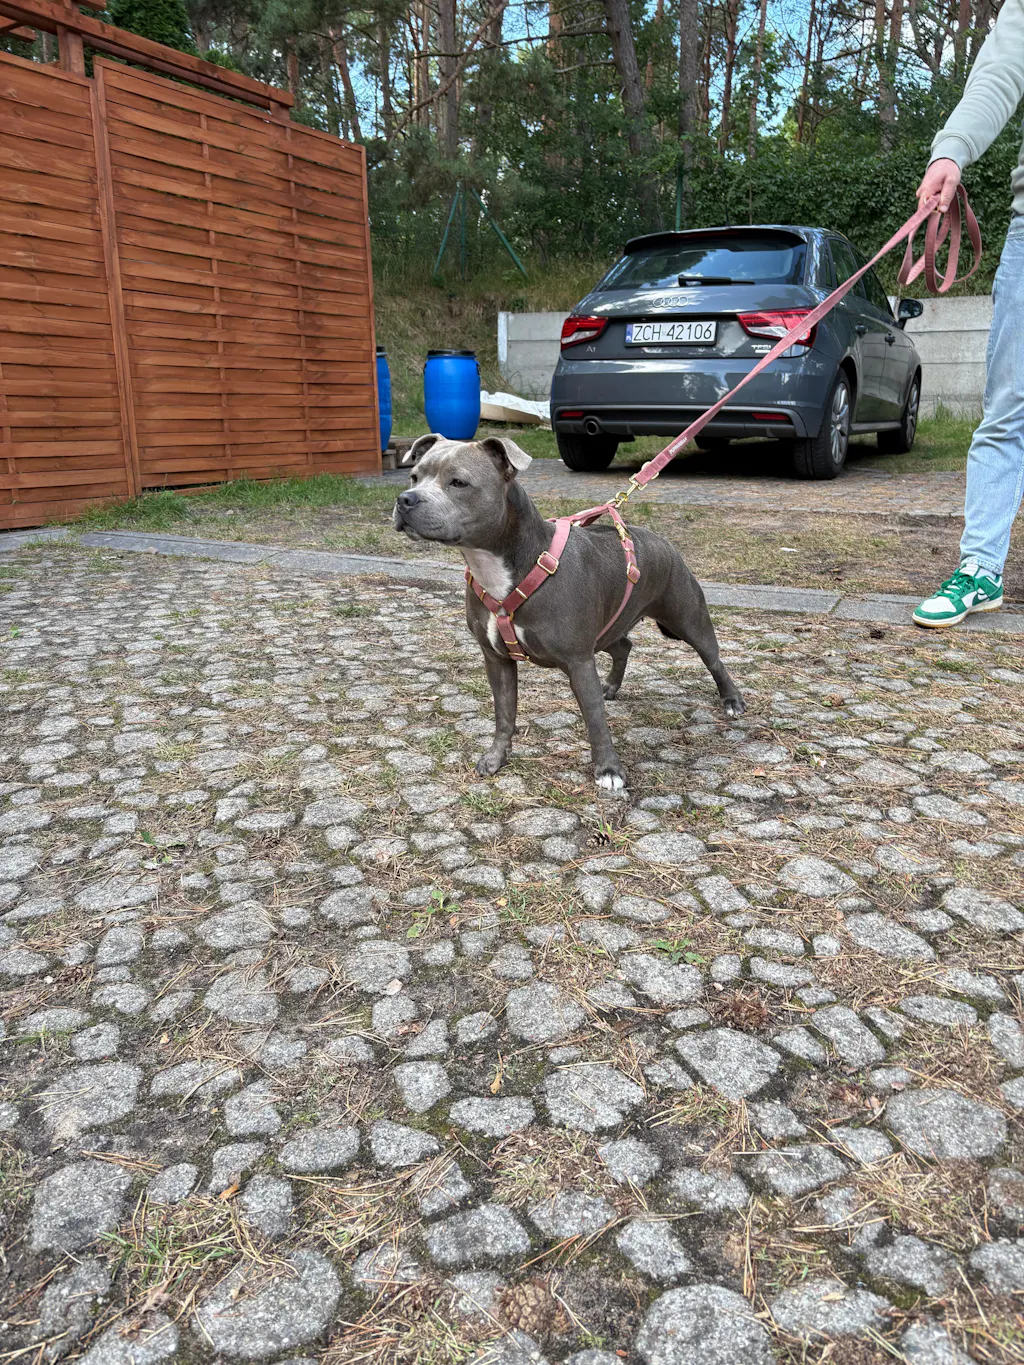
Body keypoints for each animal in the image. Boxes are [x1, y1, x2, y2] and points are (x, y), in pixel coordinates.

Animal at [392, 433, 744, 790]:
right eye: (414, 477)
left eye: (459, 482)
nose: (405, 499)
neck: (504, 566)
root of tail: (663, 542)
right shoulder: (497, 660)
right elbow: (504, 714)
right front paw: (495, 758)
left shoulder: (578, 662)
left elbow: (594, 717)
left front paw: (609, 770)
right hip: (610, 629)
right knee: (624, 645)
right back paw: (612, 686)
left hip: (689, 619)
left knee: (713, 659)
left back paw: (732, 701)